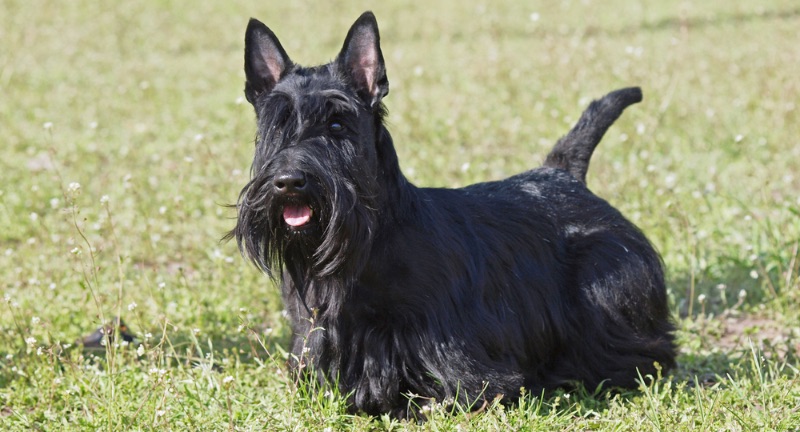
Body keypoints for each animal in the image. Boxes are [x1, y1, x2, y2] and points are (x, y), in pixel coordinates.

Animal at [230, 11, 676, 418]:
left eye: (338, 125)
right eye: (276, 126)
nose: (289, 181)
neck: (370, 242)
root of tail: (563, 173)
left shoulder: (466, 371)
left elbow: (443, 397)